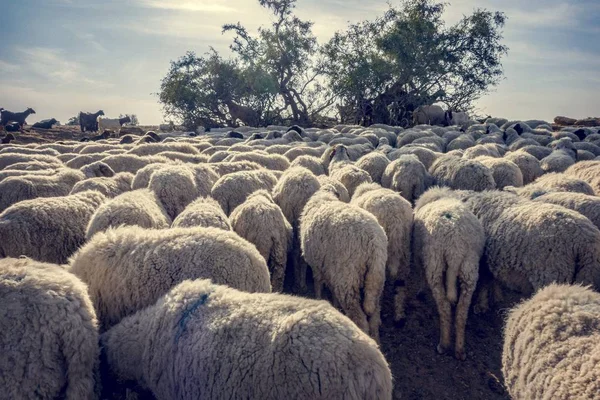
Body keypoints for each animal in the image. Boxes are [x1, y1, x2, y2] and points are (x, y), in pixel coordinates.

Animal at [300, 187, 390, 340]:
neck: (325, 197)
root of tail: (373, 242)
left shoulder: (317, 266)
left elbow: (318, 284)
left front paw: (319, 298)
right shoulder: (330, 269)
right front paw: (335, 305)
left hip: (348, 278)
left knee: (360, 319)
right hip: (375, 278)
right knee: (374, 317)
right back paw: (376, 339)